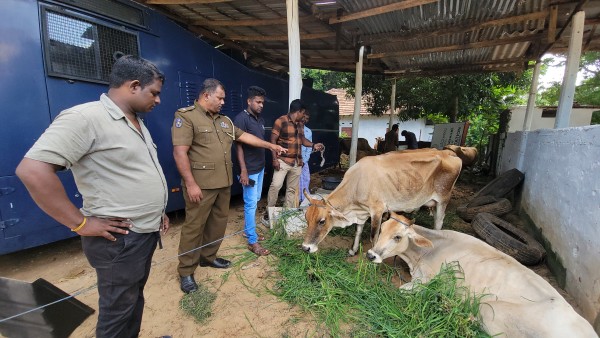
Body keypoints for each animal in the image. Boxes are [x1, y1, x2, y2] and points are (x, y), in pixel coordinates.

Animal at [302, 149, 462, 255]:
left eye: (322, 221)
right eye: (306, 219)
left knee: (439, 222)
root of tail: (448, 153)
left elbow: (374, 236)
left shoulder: (377, 210)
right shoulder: (363, 212)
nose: (305, 247)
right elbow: (358, 230)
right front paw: (353, 250)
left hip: (443, 199)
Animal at [366, 214, 596, 338]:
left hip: (489, 309)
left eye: (397, 237)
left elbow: (403, 290)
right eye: (382, 229)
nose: (370, 254)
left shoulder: (427, 281)